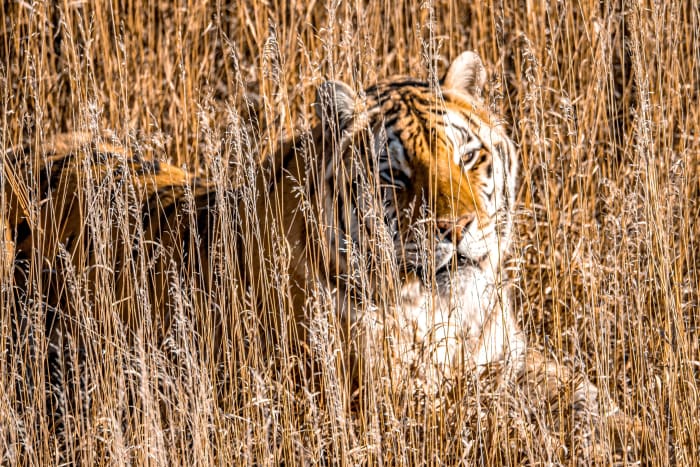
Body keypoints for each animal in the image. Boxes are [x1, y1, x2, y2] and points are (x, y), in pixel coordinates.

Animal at [3, 51, 639, 460]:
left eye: (469, 157)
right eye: (394, 176)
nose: (456, 228)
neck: (444, 311)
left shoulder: (509, 356)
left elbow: (587, 398)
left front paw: (634, 430)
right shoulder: (378, 404)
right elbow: (495, 419)